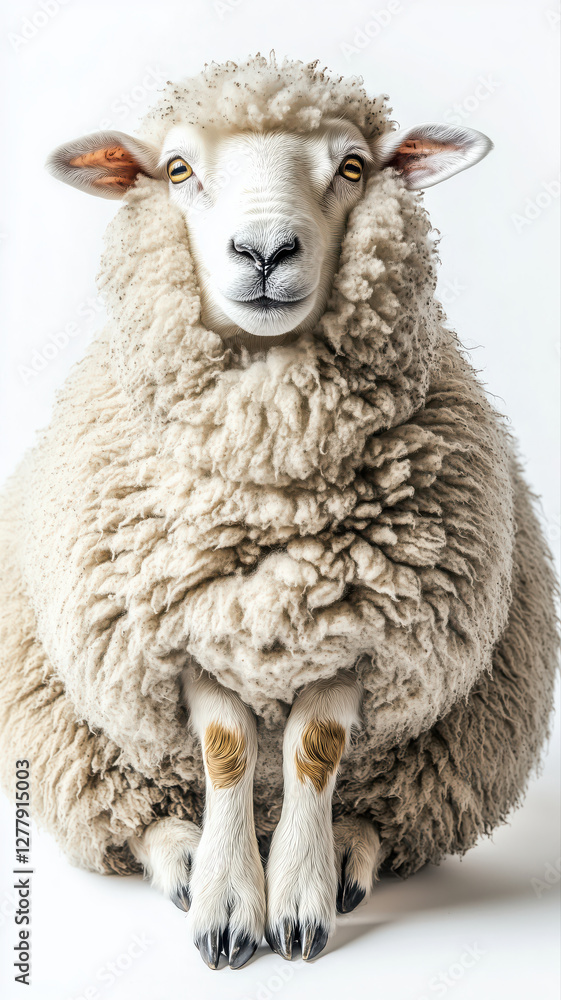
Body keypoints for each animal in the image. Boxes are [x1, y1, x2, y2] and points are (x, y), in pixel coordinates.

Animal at [0, 55, 557, 970]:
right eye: (177, 169)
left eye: (353, 167)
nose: (264, 251)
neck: (273, 471)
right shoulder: (185, 630)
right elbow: (227, 753)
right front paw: (227, 903)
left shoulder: (365, 630)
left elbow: (313, 752)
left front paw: (297, 899)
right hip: (71, 729)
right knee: (137, 810)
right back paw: (183, 856)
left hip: (451, 748)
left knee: (384, 812)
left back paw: (349, 857)